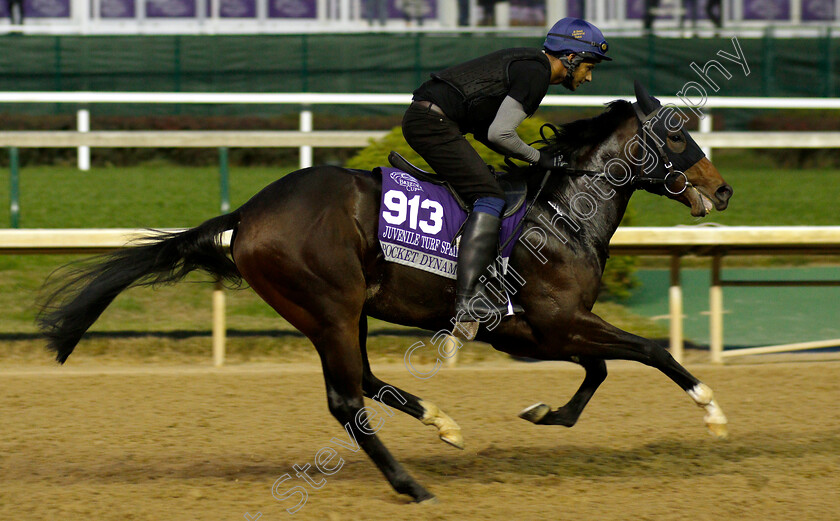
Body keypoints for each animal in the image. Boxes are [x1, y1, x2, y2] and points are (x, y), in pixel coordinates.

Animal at [39, 83, 732, 502]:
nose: (722, 190)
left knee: (366, 382)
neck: (562, 213)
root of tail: (248, 214)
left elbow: (600, 368)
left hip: (341, 313)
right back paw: (411, 485)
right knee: (347, 400)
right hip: (329, 308)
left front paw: (546, 414)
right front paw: (712, 411)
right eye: (675, 134)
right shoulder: (553, 320)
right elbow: (648, 351)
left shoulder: (534, 330)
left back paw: (443, 424)